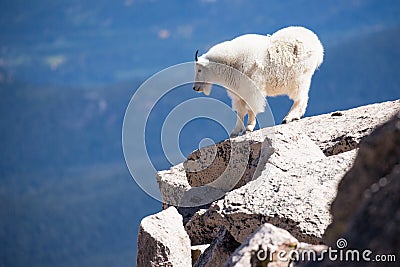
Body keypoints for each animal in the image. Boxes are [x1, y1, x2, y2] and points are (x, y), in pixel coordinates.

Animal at [192, 26, 324, 137]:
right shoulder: (238, 93)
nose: (195, 88)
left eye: (199, 70)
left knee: (300, 97)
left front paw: (249, 128)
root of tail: (317, 44)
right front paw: (234, 132)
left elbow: (251, 108)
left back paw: (289, 117)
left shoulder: (253, 88)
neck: (230, 63)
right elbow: (240, 112)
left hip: (300, 77)